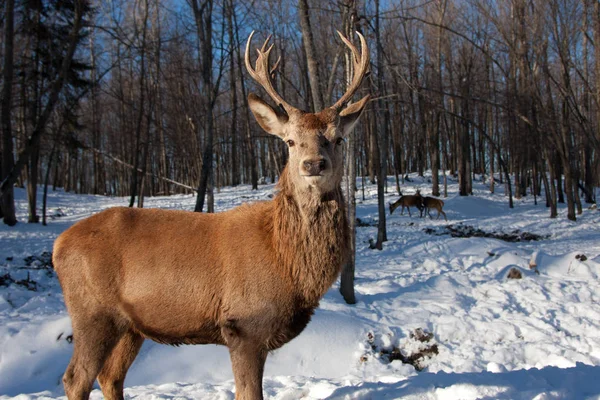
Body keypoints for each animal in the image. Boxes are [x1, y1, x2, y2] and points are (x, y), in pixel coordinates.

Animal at [52, 31, 370, 400]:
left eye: (338, 138)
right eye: (290, 141)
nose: (314, 164)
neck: (285, 259)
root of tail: (57, 245)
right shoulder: (243, 325)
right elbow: (248, 393)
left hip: (131, 325)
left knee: (110, 376)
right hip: (92, 312)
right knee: (75, 378)